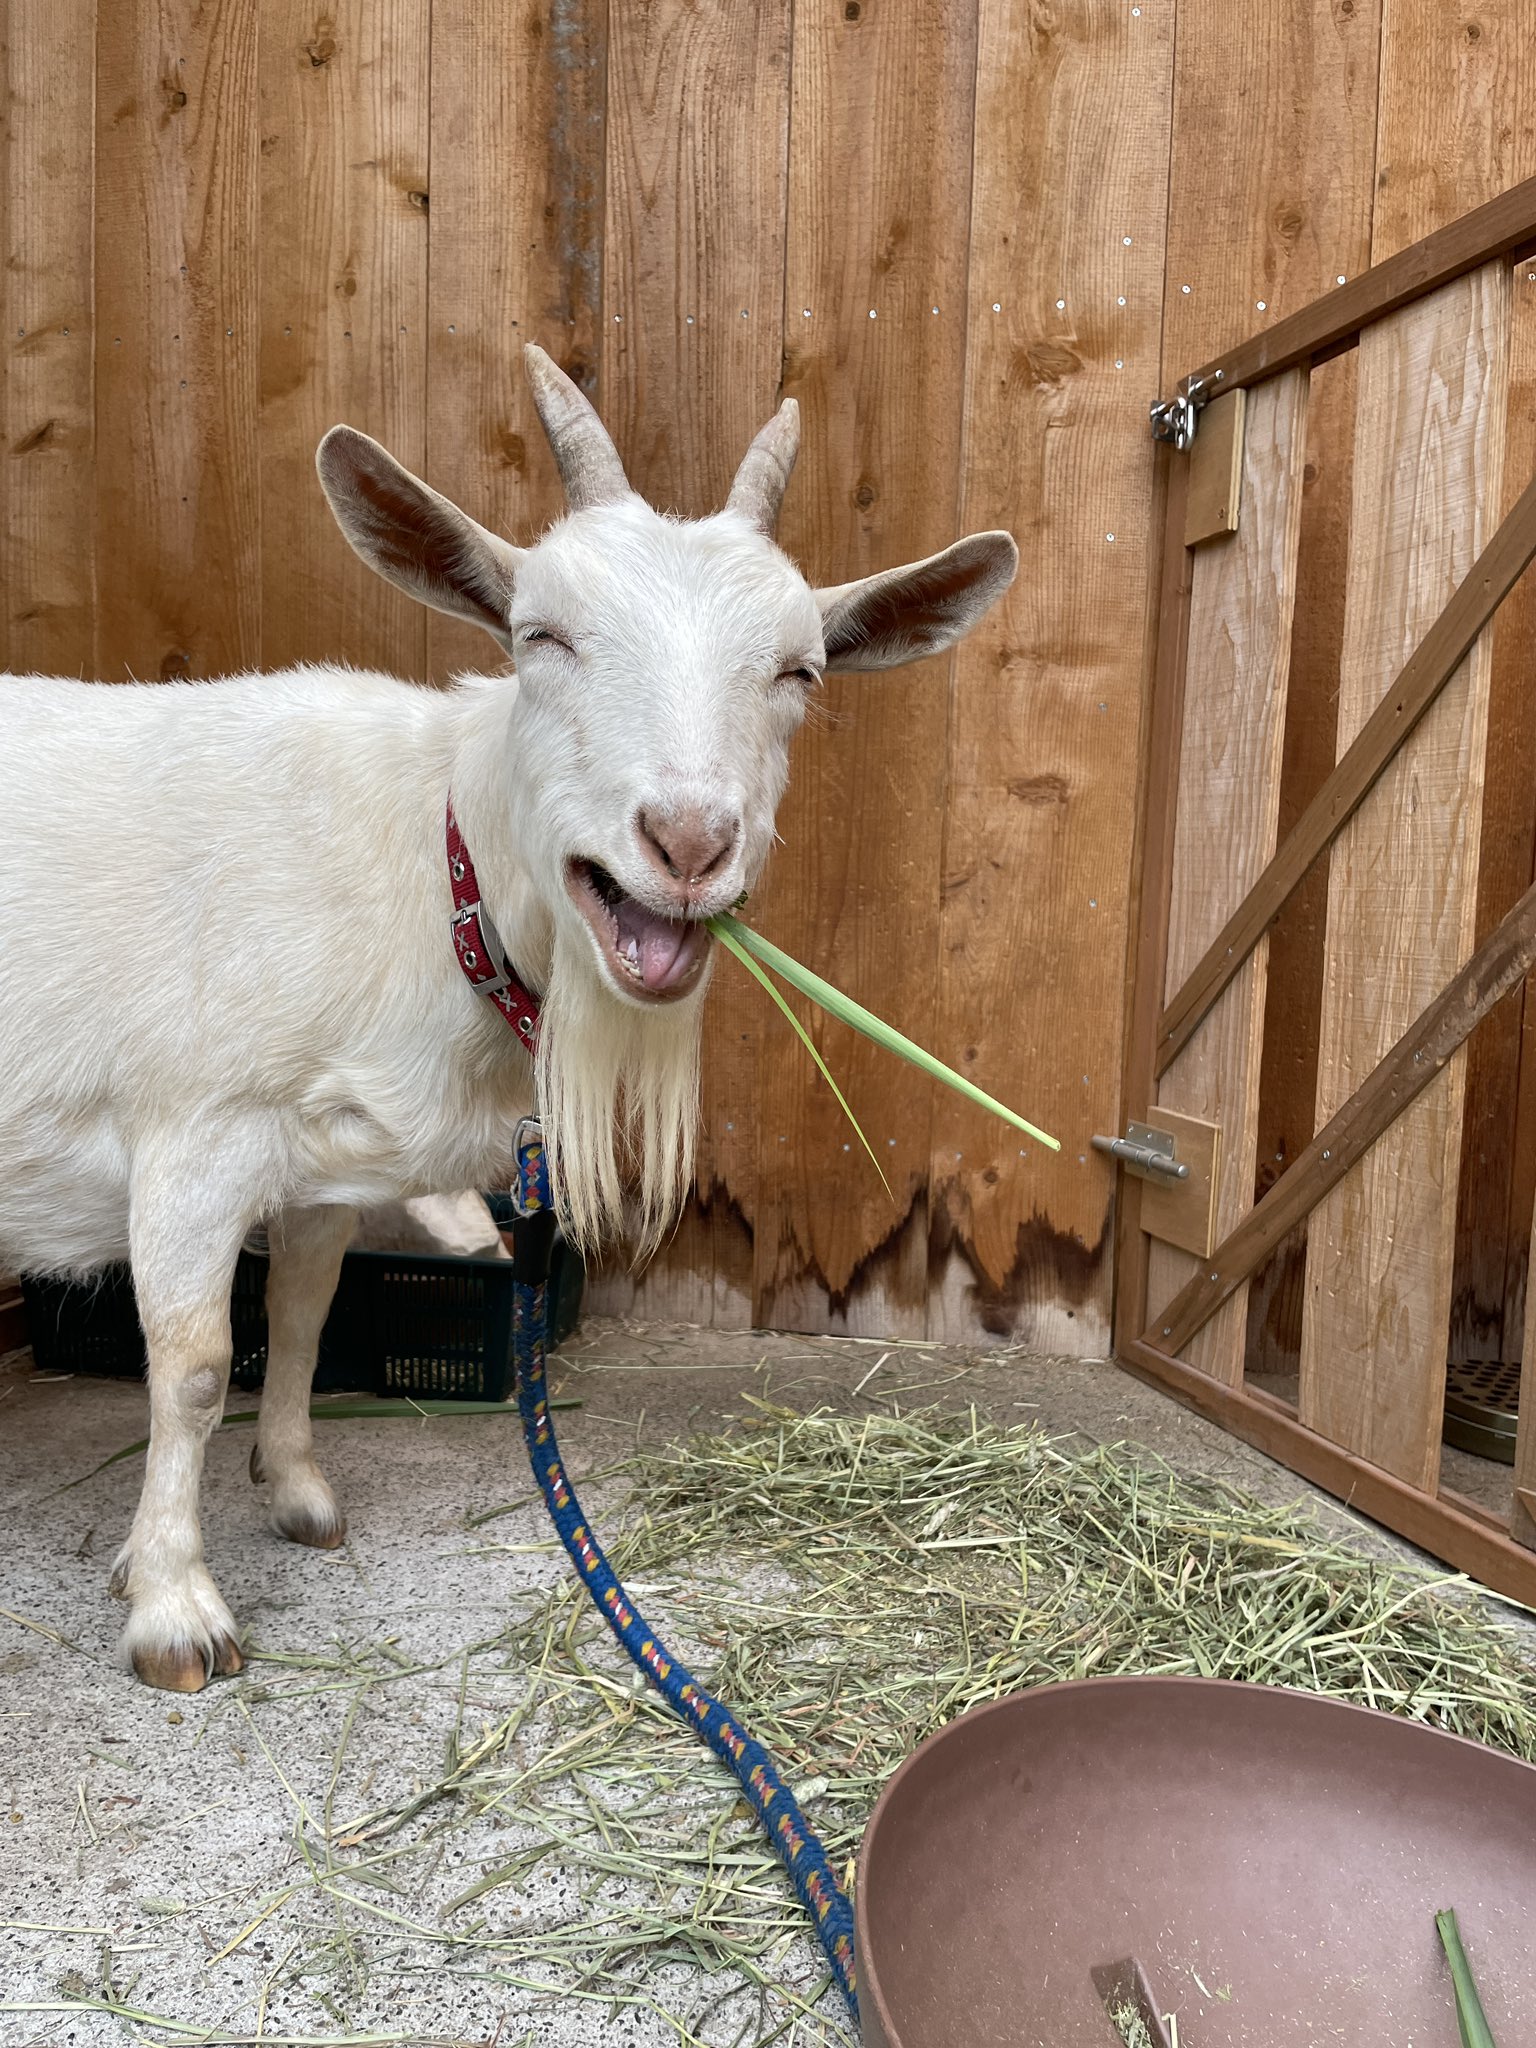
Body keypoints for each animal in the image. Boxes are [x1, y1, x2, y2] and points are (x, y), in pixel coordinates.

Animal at [0, 347, 1016, 1690]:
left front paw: (297, 1490)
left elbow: (306, 1312)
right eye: (542, 633)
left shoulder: (317, 1158)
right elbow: (197, 1362)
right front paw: (174, 1605)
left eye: (798, 671)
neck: (434, 877)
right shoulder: (191, 1133)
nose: (688, 842)